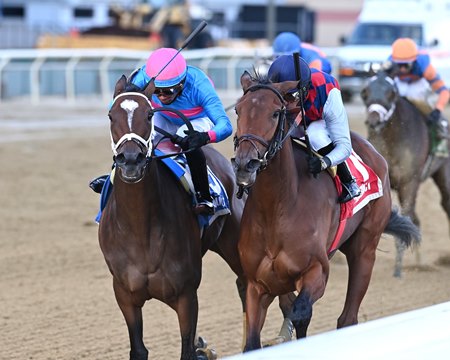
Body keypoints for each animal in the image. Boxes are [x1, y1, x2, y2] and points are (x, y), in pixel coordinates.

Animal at [232, 71, 422, 352]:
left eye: (276, 113)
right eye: (238, 109)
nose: (245, 164)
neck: (277, 208)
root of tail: (373, 151)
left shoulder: (317, 272)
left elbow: (300, 313)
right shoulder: (257, 284)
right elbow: (254, 342)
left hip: (364, 249)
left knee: (347, 318)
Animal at [360, 69, 450, 272]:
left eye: (391, 92)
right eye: (365, 91)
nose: (374, 119)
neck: (394, 138)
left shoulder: (409, 182)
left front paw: (398, 269)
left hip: (444, 172)